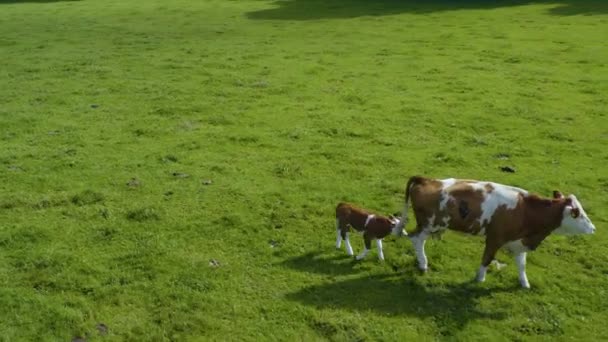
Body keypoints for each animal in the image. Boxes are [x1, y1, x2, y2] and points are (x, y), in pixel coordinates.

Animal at [396, 176, 596, 288]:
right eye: (578, 214)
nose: (593, 228)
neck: (526, 210)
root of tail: (427, 180)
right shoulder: (495, 238)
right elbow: (487, 259)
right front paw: (480, 279)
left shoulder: (518, 241)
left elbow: (521, 264)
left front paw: (524, 283)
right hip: (430, 224)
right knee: (416, 239)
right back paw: (423, 264)